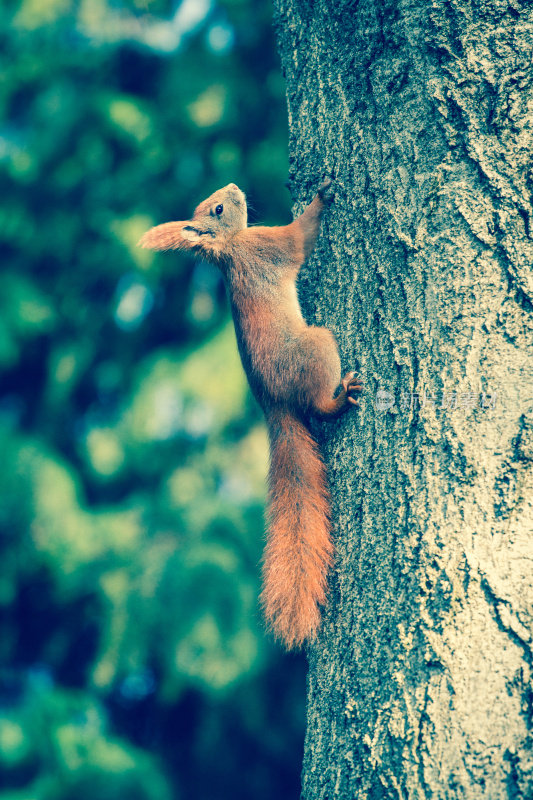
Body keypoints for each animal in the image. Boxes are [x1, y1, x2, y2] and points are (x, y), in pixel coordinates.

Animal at [138, 181, 362, 648]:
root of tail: (273, 405)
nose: (233, 186)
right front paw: (322, 197)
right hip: (317, 345)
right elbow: (299, 237)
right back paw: (337, 400)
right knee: (319, 405)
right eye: (219, 209)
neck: (229, 249)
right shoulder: (268, 246)